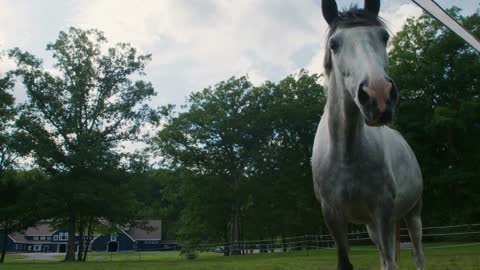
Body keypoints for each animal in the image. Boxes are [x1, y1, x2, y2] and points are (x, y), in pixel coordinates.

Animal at [314, 0, 426, 270]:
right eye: (334, 44)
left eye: (384, 37)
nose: (379, 95)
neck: (345, 154)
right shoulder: (332, 216)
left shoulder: (382, 209)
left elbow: (392, 263)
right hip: (372, 226)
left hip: (412, 213)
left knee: (417, 254)